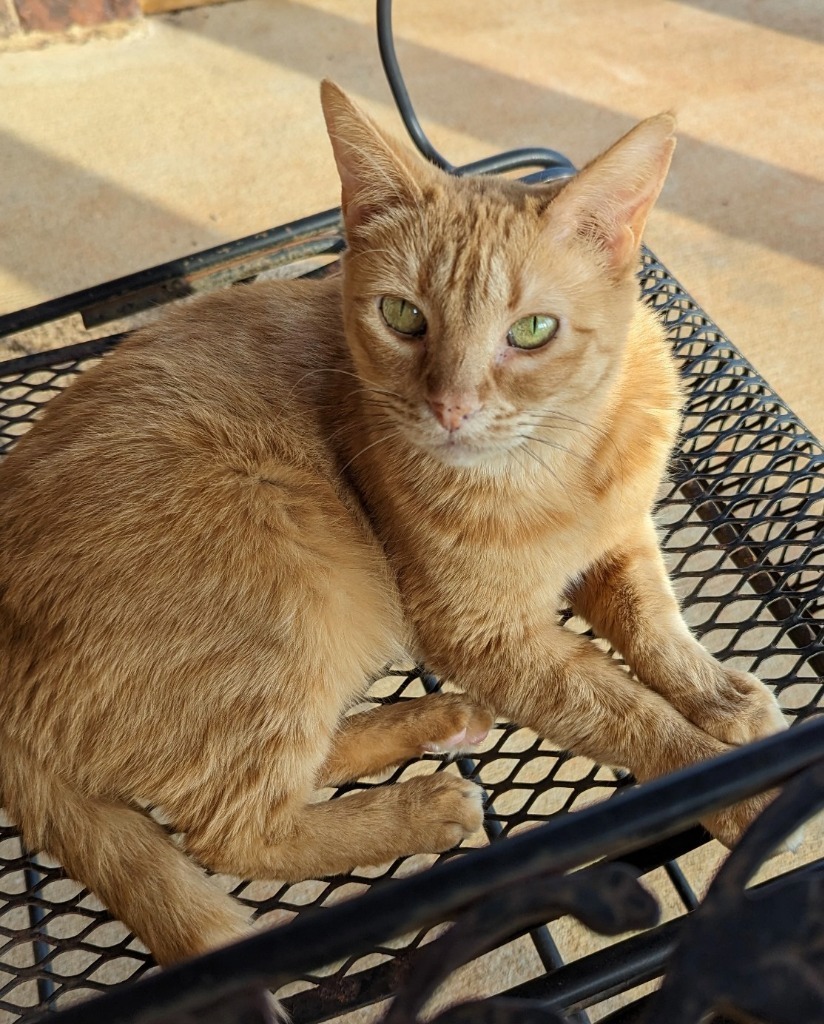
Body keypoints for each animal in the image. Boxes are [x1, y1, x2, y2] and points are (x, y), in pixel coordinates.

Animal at [0, 81, 786, 966]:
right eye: (402, 316)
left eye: (532, 330)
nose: (451, 407)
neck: (559, 466)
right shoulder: (481, 634)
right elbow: (622, 709)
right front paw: (728, 782)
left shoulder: (621, 541)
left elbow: (656, 625)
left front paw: (719, 695)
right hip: (297, 590)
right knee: (235, 829)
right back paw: (424, 807)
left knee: (291, 767)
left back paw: (432, 720)